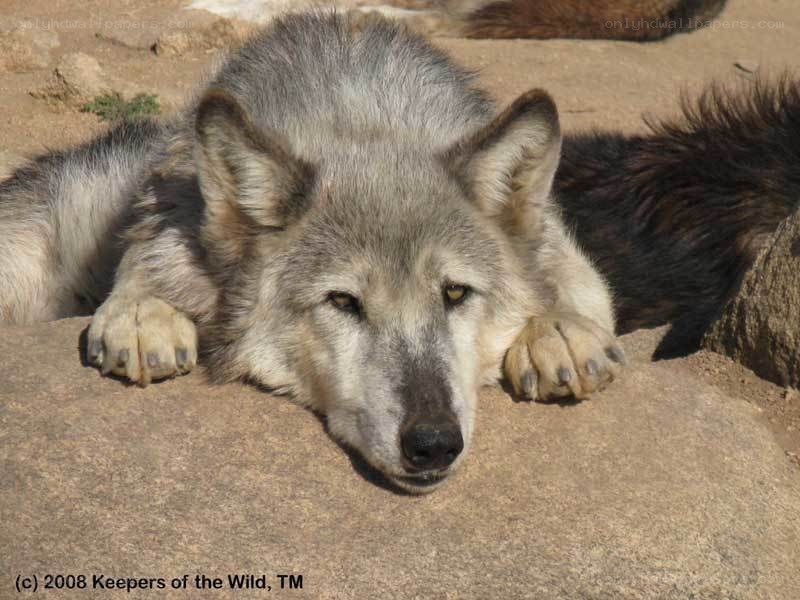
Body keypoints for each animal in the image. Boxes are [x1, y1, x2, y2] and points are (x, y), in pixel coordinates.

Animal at [1, 12, 797, 492]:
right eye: (343, 302)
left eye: (455, 294)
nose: (434, 444)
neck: (357, 119)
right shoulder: (167, 211)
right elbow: (148, 259)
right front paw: (144, 314)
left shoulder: (565, 248)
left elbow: (569, 289)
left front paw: (556, 334)